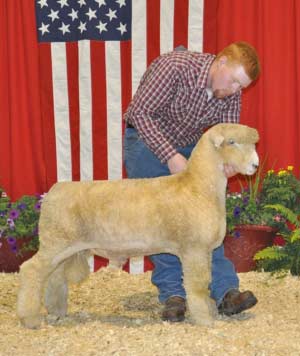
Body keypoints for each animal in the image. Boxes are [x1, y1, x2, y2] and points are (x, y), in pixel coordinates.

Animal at [17, 123, 260, 328]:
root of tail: (53, 192)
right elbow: (198, 286)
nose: (255, 165)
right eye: (232, 142)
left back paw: (56, 311)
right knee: (31, 270)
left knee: (54, 276)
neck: (198, 187)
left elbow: (207, 281)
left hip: (66, 247)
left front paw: (210, 310)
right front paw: (205, 319)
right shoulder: (194, 249)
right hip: (55, 242)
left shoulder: (206, 250)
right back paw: (30, 318)